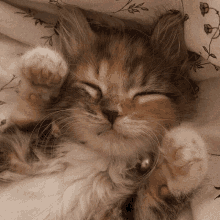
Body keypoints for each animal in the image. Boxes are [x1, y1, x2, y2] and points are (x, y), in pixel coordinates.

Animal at [0, 6, 208, 220]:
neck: (100, 161)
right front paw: (43, 70)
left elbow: (156, 195)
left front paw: (186, 150)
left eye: (145, 93)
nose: (111, 112)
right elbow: (27, 118)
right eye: (92, 86)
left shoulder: (126, 213)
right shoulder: (10, 149)